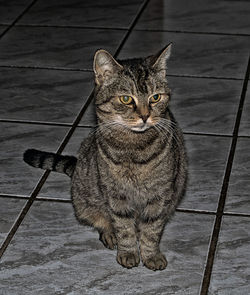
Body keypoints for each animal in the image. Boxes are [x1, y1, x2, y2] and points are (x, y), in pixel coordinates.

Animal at [23, 44, 188, 272]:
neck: (133, 147)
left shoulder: (160, 195)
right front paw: (128, 253)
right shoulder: (116, 195)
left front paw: (151, 255)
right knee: (101, 220)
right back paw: (110, 234)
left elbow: (151, 229)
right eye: (126, 99)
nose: (145, 116)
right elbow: (124, 228)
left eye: (155, 97)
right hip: (84, 199)